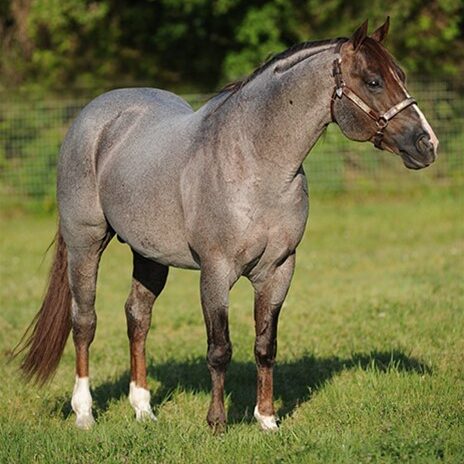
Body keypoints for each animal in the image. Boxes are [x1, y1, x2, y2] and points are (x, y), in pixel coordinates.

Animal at [12, 18, 436, 432]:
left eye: (400, 75)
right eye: (373, 81)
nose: (426, 144)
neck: (255, 165)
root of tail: (93, 116)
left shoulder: (278, 270)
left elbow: (265, 346)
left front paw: (267, 420)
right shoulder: (216, 272)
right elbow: (219, 349)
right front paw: (217, 423)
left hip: (149, 255)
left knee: (138, 317)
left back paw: (143, 410)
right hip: (85, 242)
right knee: (84, 321)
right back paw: (84, 413)